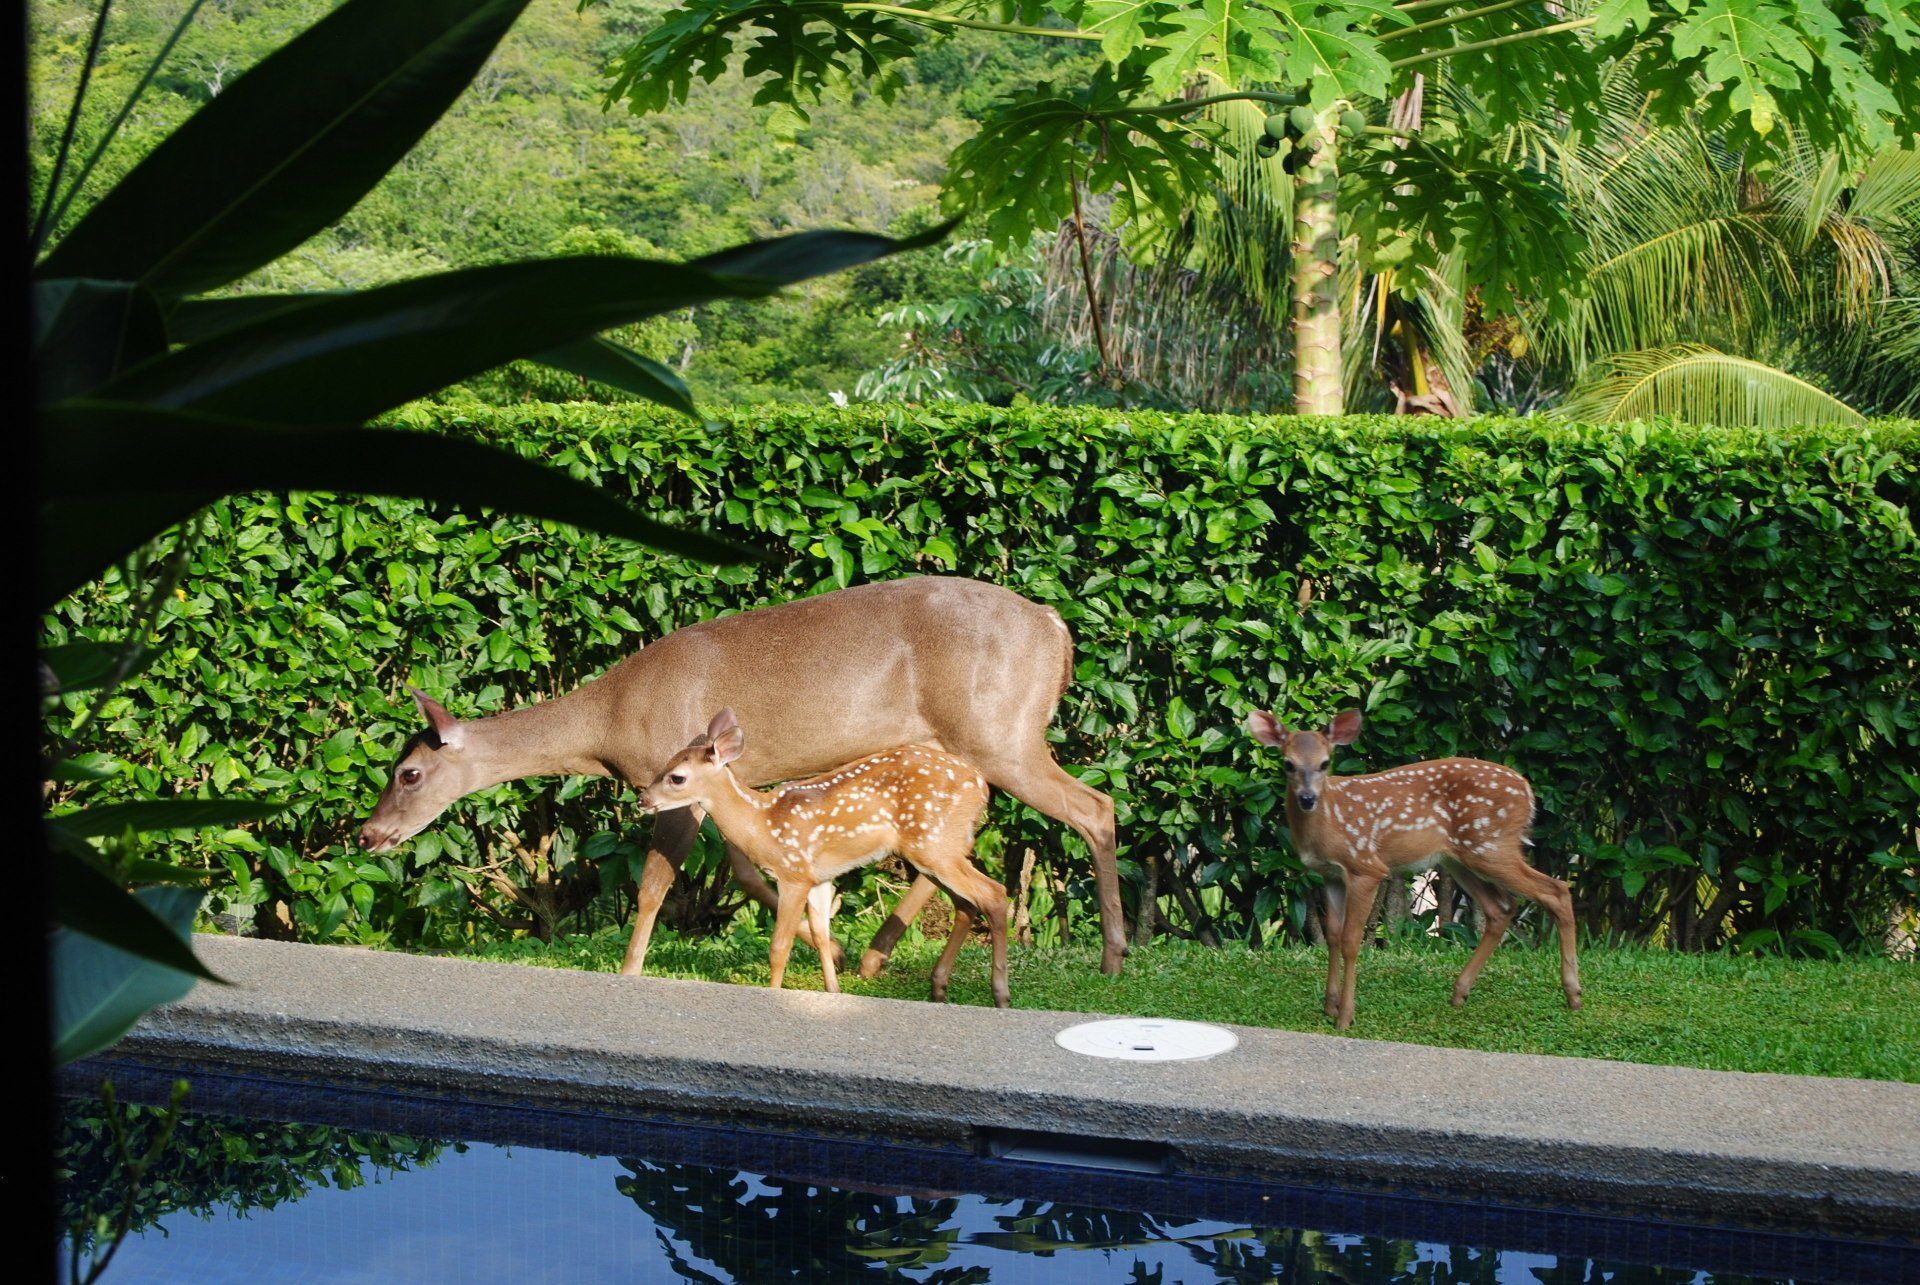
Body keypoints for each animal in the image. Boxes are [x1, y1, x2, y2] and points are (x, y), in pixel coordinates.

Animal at [639, 709, 1011, 1007]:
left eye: (677, 777)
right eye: (664, 764)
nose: (642, 800)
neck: (763, 824)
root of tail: (982, 788)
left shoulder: (794, 873)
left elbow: (779, 946)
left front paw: (774, 994)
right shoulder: (820, 877)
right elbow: (820, 933)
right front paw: (833, 991)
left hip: (935, 844)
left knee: (995, 894)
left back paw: (1000, 995)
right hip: (936, 851)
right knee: (967, 904)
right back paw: (939, 988)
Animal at [1246, 708, 1581, 1031]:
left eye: (1325, 763)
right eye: (1288, 764)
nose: (1307, 798)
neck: (1328, 823)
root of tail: (1527, 790)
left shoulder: (1365, 866)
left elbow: (1352, 942)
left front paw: (1345, 1017)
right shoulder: (1330, 875)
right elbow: (1332, 936)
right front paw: (1329, 1007)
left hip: (1491, 845)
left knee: (1556, 890)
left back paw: (1573, 994)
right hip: (1459, 858)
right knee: (1501, 908)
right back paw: (1460, 992)